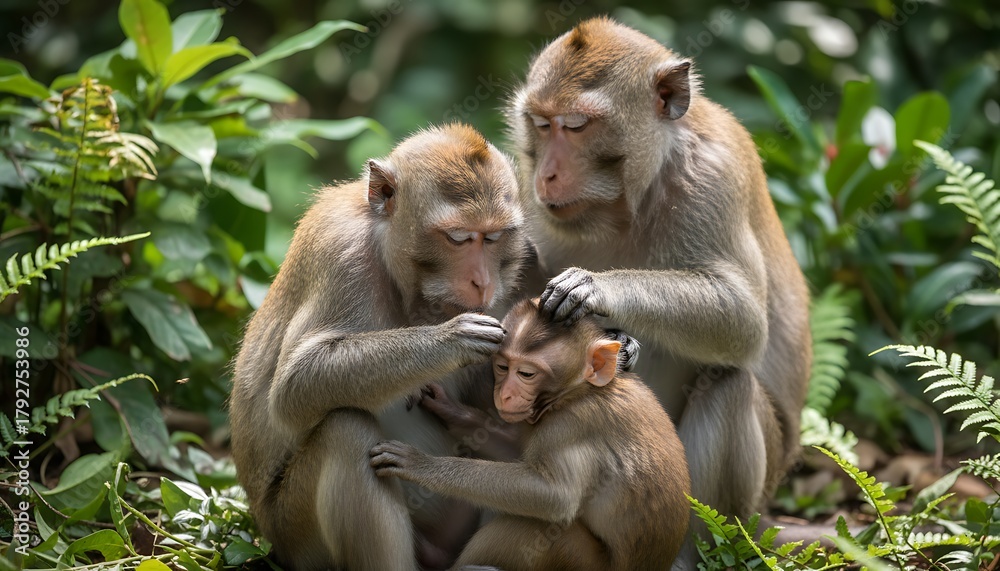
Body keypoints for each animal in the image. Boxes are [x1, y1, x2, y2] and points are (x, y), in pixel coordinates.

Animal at [228, 124, 533, 571]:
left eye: (493, 238)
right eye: (459, 238)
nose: (483, 281)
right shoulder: (342, 254)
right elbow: (293, 385)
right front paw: (454, 338)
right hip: (294, 535)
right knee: (345, 430)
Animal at [370, 297, 691, 571]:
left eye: (526, 374)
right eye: (502, 367)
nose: (506, 395)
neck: (581, 391)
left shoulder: (571, 424)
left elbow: (554, 495)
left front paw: (421, 464)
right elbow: (515, 453)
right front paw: (449, 409)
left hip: (583, 561)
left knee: (534, 526)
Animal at [502, 17, 812, 563]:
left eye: (576, 125)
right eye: (541, 123)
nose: (547, 173)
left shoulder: (712, 179)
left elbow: (745, 320)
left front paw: (596, 288)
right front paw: (620, 344)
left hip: (748, 504)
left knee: (728, 383)